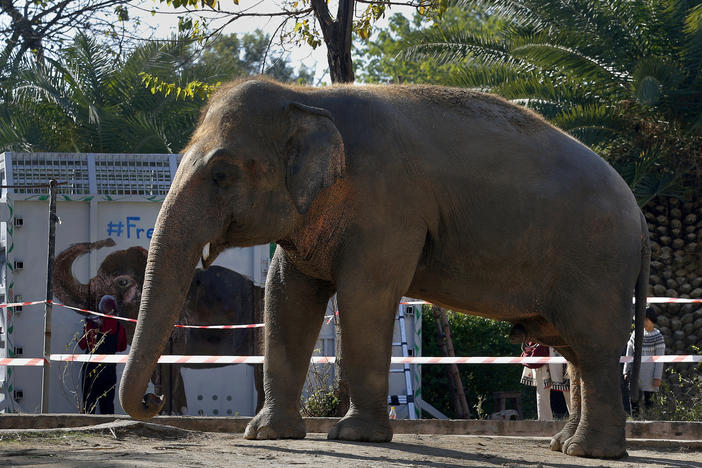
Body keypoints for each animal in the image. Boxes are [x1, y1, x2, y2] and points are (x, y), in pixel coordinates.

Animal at [119, 78, 648, 458]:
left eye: (221, 174)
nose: (154, 401)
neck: (308, 97)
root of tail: (639, 212)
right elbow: (287, 296)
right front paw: (267, 434)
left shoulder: (388, 206)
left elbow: (364, 296)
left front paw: (354, 437)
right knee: (573, 349)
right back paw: (564, 446)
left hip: (598, 262)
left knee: (592, 348)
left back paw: (591, 452)